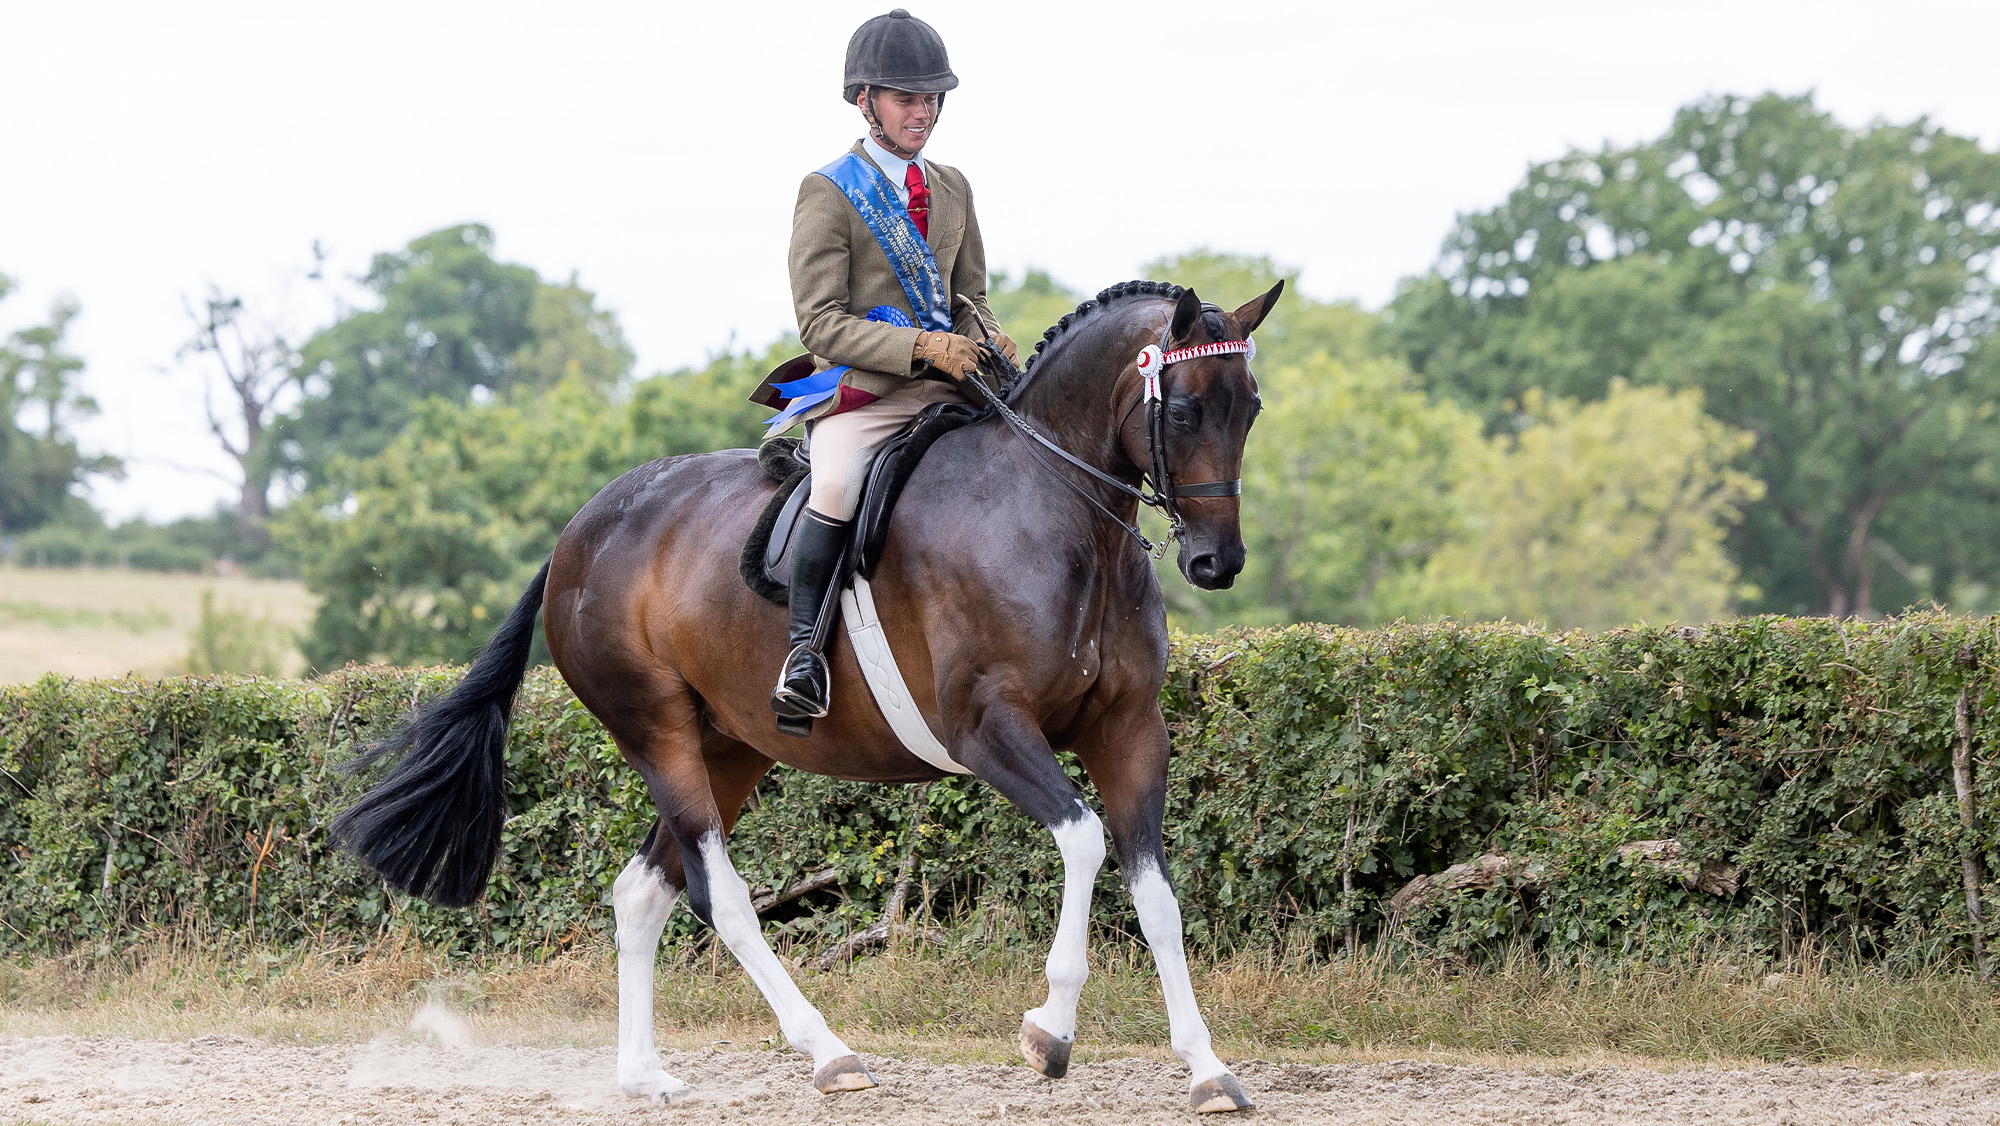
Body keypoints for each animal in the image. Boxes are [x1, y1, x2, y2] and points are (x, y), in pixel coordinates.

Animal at [332, 277, 1283, 1114]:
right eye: (1186, 410)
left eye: (1251, 408)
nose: (1217, 563)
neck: (1059, 514)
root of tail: (582, 530)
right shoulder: (987, 730)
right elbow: (1084, 841)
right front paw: (1049, 1030)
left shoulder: (1130, 732)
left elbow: (1157, 895)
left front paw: (1207, 1070)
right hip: (657, 731)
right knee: (719, 896)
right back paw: (829, 1054)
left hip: (730, 748)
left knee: (644, 892)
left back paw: (644, 1077)